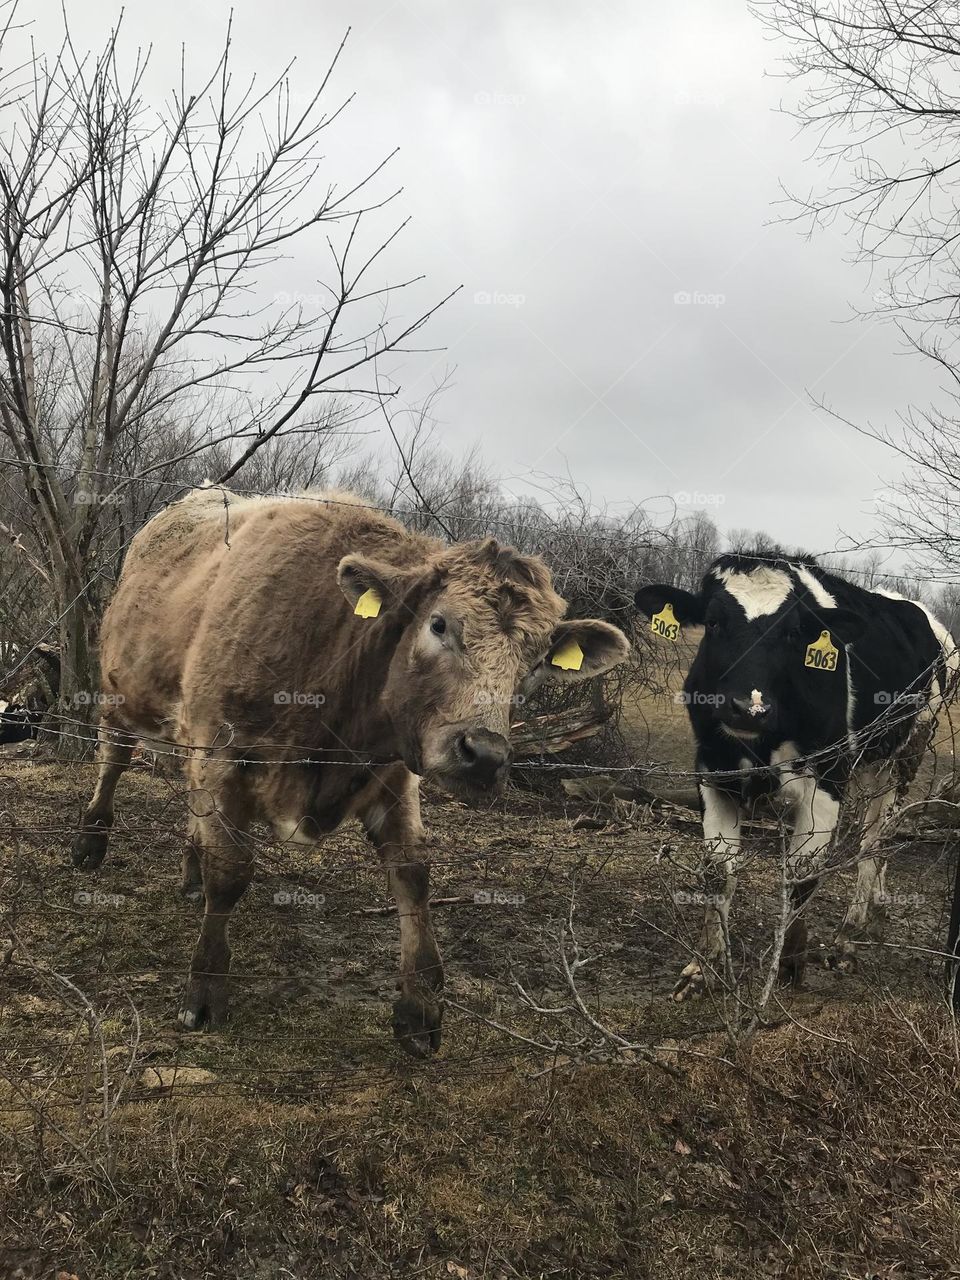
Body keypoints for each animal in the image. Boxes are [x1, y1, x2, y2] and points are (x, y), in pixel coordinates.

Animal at [72, 487, 630, 1055]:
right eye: (439, 624)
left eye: (536, 662)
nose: (485, 755)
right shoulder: (221, 755)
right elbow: (229, 873)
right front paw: (205, 989)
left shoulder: (395, 778)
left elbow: (413, 876)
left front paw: (419, 1007)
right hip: (121, 696)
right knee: (113, 761)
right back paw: (91, 843)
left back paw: (190, 870)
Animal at [636, 552, 958, 999]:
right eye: (713, 622)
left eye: (793, 633)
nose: (748, 708)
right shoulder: (712, 773)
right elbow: (718, 874)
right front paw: (704, 969)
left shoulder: (827, 781)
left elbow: (802, 875)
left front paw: (789, 965)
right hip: (871, 764)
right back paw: (874, 916)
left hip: (909, 752)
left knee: (875, 840)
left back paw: (848, 938)